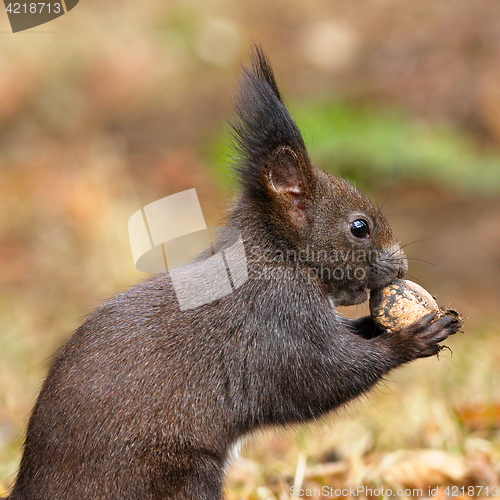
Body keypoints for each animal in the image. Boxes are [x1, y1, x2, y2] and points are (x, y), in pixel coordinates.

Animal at [3, 47, 462, 500]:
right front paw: (412, 339)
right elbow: (320, 377)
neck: (278, 257)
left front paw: (383, 324)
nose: (401, 265)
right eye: (359, 227)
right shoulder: (276, 323)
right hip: (177, 476)